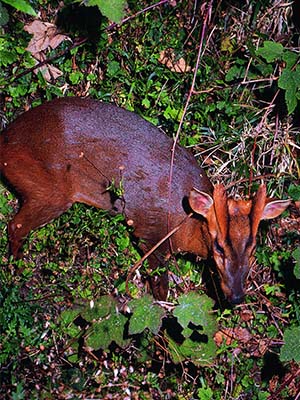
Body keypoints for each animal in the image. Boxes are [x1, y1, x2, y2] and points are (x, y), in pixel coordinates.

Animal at [0, 97, 290, 304]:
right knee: (15, 225)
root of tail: (5, 140)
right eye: (218, 246)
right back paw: (17, 272)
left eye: (252, 247)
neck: (186, 224)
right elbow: (161, 289)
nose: (237, 297)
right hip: (47, 187)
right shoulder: (151, 233)